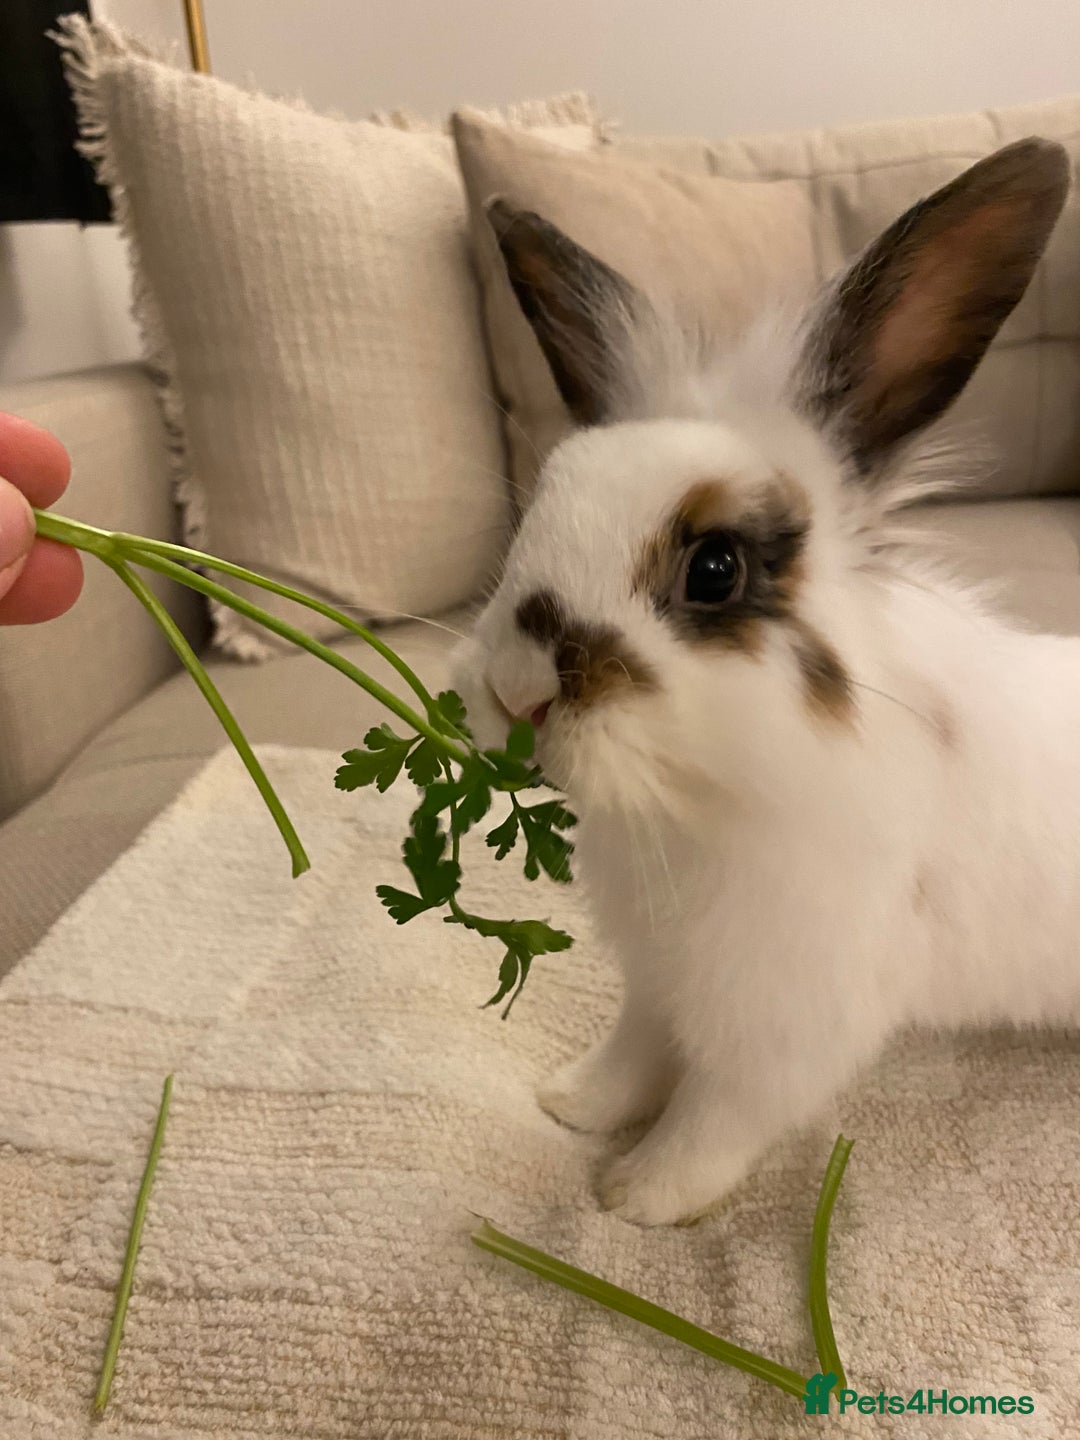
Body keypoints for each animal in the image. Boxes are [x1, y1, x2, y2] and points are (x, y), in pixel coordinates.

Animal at [451, 137, 1075, 1226]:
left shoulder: (782, 1024)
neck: (691, 806)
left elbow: (716, 1118)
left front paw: (637, 1195)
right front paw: (572, 1102)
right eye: (538, 510)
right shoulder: (658, 979)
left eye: (715, 569)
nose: (518, 691)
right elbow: (634, 1050)